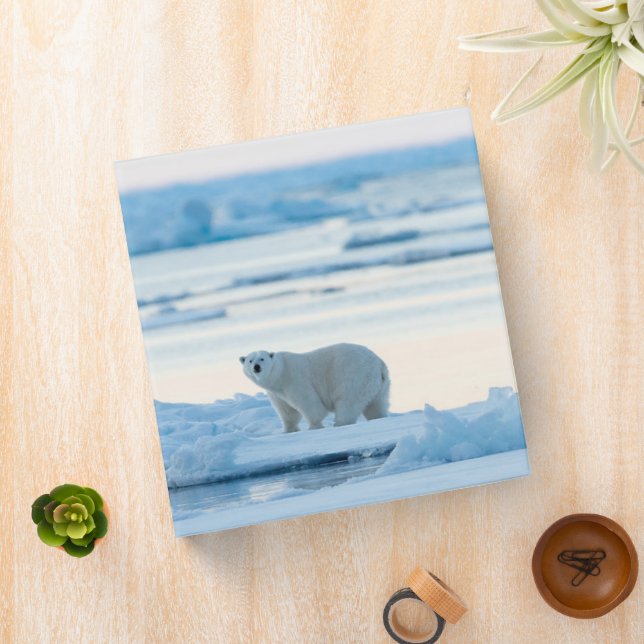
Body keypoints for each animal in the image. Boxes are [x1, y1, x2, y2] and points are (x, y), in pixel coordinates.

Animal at [239, 343, 390, 432]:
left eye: (262, 359)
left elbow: (309, 403)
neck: (279, 373)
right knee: (376, 405)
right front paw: (288, 430)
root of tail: (379, 364)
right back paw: (378, 417)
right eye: (250, 361)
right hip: (378, 385)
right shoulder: (276, 393)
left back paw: (339, 423)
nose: (256, 367)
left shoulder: (294, 379)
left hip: (353, 377)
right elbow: (287, 411)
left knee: (347, 403)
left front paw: (313, 426)